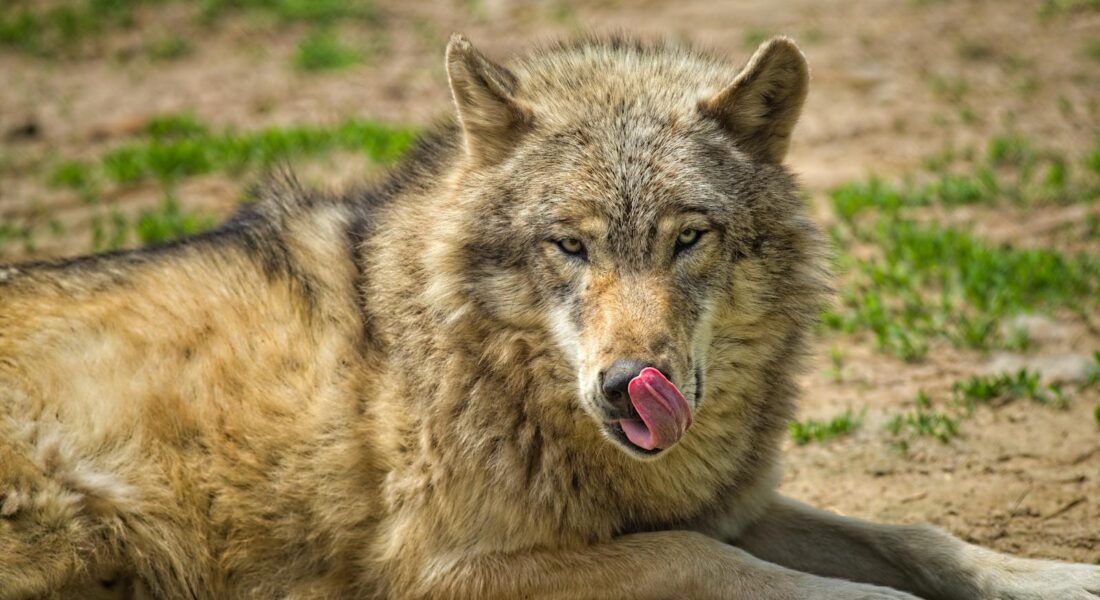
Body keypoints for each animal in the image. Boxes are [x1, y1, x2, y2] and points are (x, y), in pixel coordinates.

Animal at [1, 32, 1098, 600]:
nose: (625, 387)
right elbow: (727, 566)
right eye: (569, 247)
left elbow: (921, 537)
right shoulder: (453, 571)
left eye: (686, 239)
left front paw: (1053, 577)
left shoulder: (729, 501)